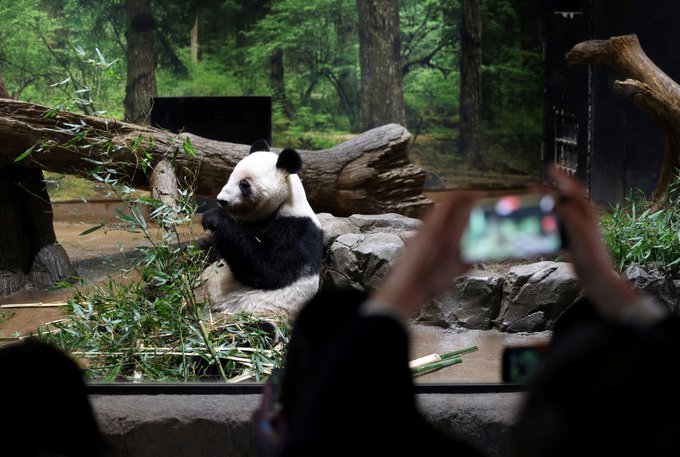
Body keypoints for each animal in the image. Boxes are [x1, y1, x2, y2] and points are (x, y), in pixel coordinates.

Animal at [198, 139, 324, 314]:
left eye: (244, 184)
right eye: (230, 178)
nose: (221, 200)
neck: (285, 203)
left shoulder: (297, 231)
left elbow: (267, 269)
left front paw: (213, 218)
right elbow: (207, 248)